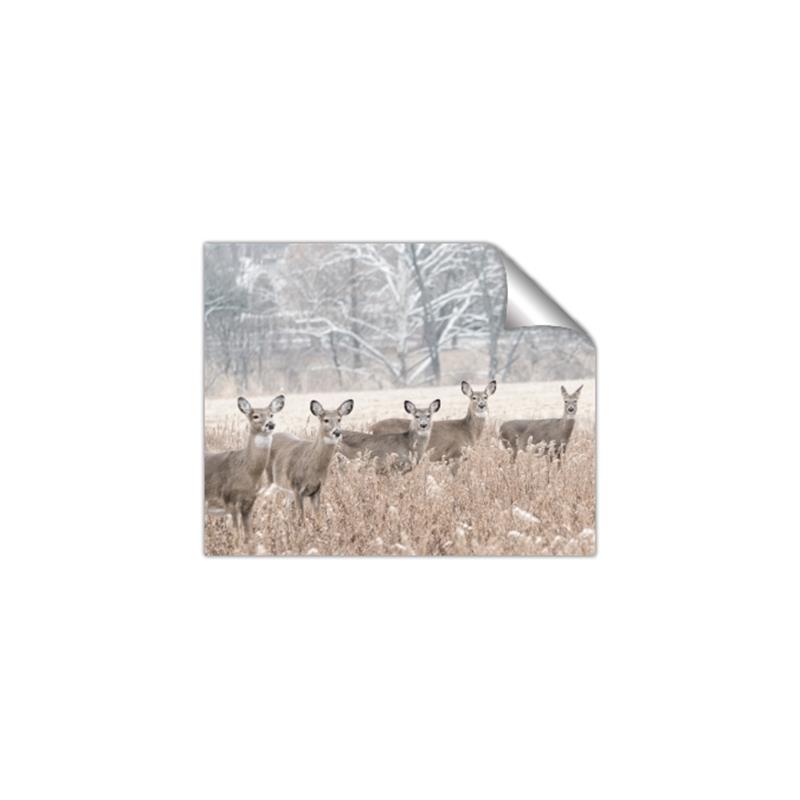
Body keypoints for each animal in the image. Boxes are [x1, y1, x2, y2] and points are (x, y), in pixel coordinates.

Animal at [205, 395, 286, 545]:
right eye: (255, 416)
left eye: (271, 414)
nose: (270, 424)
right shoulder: (229, 500)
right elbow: (237, 535)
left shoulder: (250, 502)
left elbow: (249, 536)